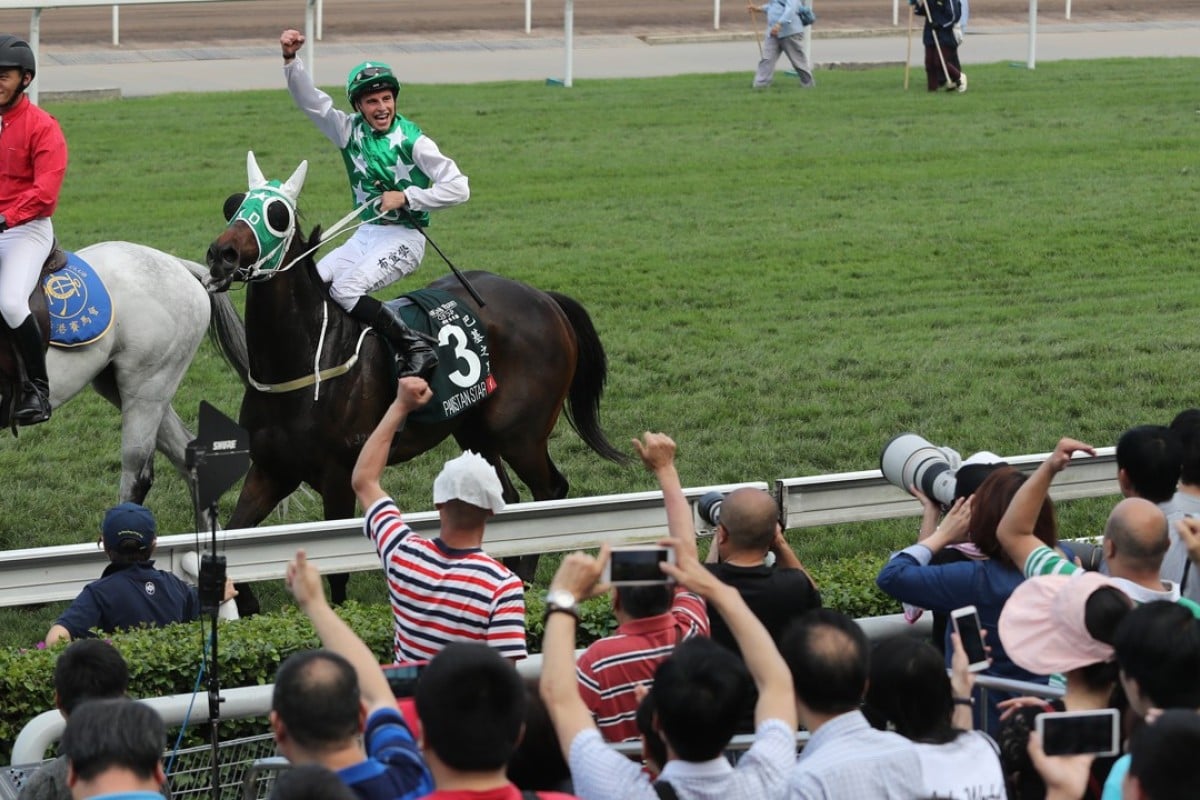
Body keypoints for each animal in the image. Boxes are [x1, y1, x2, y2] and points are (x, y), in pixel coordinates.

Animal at [205, 153, 624, 604]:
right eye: (233, 205)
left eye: (277, 214)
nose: (222, 255)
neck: (304, 361)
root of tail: (545, 298)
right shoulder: (271, 470)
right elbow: (234, 540)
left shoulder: (338, 476)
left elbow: (337, 577)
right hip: (474, 428)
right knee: (507, 499)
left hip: (518, 433)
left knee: (548, 494)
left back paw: (524, 582)